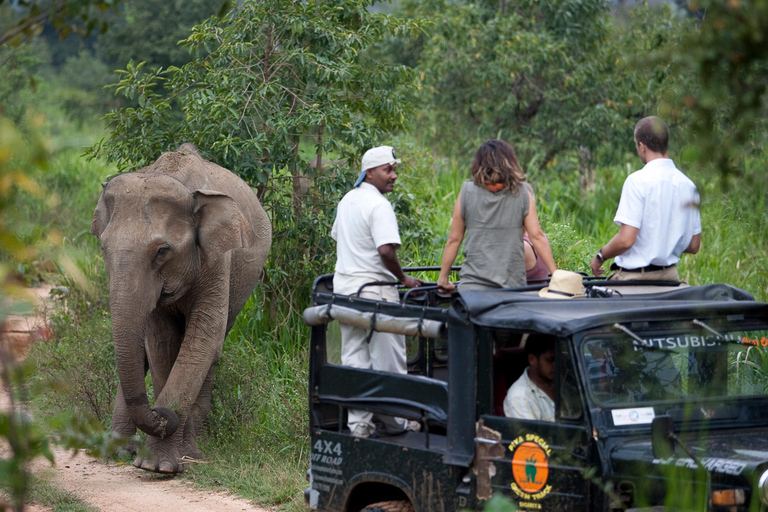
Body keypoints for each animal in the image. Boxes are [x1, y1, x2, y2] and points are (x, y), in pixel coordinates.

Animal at [90, 144, 271, 474]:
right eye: (103, 248)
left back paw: (196, 444)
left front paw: (164, 464)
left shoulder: (217, 259)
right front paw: (158, 462)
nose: (161, 414)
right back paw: (120, 450)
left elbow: (202, 341)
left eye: (163, 251)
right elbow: (161, 345)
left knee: (214, 349)